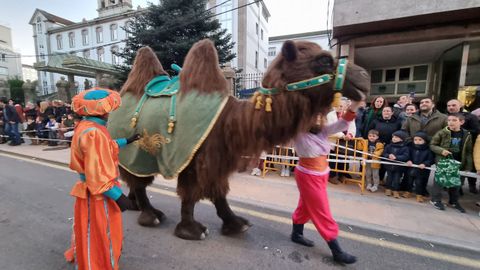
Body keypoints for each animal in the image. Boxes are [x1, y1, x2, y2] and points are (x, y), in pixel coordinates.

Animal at [109, 39, 370, 239]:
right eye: (323, 60)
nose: (364, 76)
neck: (231, 120)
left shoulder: (218, 158)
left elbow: (219, 193)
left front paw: (236, 224)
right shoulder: (197, 158)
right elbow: (191, 193)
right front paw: (191, 230)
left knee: (135, 180)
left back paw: (134, 205)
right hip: (135, 149)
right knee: (139, 182)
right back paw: (150, 215)